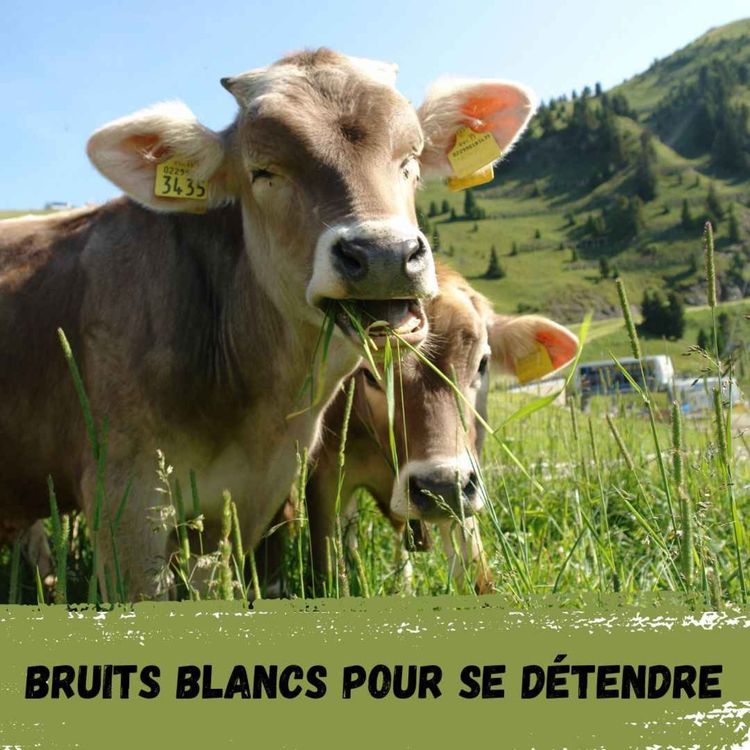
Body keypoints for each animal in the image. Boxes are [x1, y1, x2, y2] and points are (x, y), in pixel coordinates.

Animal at [261, 264, 579, 595]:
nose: (441, 486)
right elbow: (329, 574)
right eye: (369, 373)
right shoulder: (323, 478)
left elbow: (477, 575)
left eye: (483, 363)